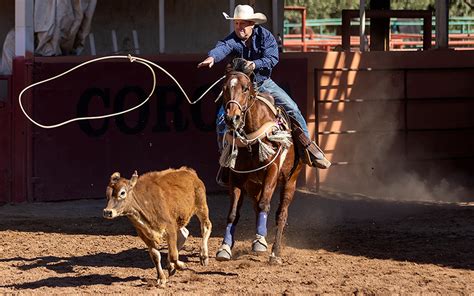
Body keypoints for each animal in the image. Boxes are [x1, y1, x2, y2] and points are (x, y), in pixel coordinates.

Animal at [216, 61, 302, 264]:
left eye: (245, 88)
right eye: (224, 88)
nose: (232, 118)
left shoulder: (272, 170)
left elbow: (265, 204)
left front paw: (260, 244)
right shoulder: (237, 177)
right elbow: (233, 213)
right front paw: (225, 248)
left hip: (290, 181)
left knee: (281, 214)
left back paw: (275, 252)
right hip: (253, 184)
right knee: (256, 208)